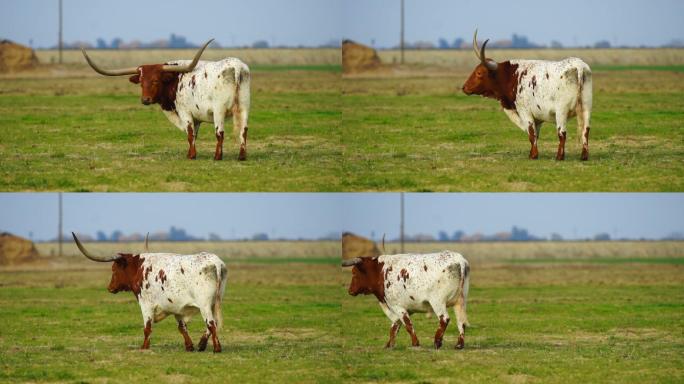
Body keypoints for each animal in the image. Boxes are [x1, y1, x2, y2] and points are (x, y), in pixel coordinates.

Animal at [72, 232, 228, 352]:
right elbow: (182, 327)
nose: (110, 288)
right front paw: (189, 346)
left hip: (205, 304)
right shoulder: (176, 307)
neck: (139, 268)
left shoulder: (146, 304)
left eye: (114, 269)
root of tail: (215, 262)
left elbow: (147, 327)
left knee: (211, 324)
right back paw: (202, 344)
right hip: (214, 302)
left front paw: (144, 347)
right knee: (211, 324)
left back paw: (217, 348)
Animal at [81, 41, 251, 162]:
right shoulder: (196, 117)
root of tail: (236, 66)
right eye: (141, 82)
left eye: (156, 80)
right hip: (244, 108)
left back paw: (217, 157)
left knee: (220, 133)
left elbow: (190, 134)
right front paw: (191, 153)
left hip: (219, 110)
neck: (175, 79)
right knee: (243, 130)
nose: (145, 100)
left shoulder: (185, 112)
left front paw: (191, 156)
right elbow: (194, 135)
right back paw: (241, 156)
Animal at [342, 250, 470, 350]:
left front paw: (415, 343)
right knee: (461, 322)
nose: (350, 290)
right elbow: (395, 326)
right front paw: (389, 345)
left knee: (444, 319)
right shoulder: (403, 308)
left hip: (437, 302)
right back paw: (459, 345)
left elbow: (407, 325)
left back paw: (437, 342)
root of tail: (459, 260)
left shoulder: (397, 306)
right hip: (460, 302)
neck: (381, 272)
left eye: (354, 273)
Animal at [464, 30, 592, 160]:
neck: (512, 76)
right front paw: (533, 153)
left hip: (561, 111)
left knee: (562, 133)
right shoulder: (538, 116)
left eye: (479, 73)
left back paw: (559, 156)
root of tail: (578, 66)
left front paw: (533, 155)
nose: (464, 87)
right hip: (586, 108)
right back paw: (584, 156)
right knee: (585, 131)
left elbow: (531, 134)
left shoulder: (525, 112)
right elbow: (536, 134)